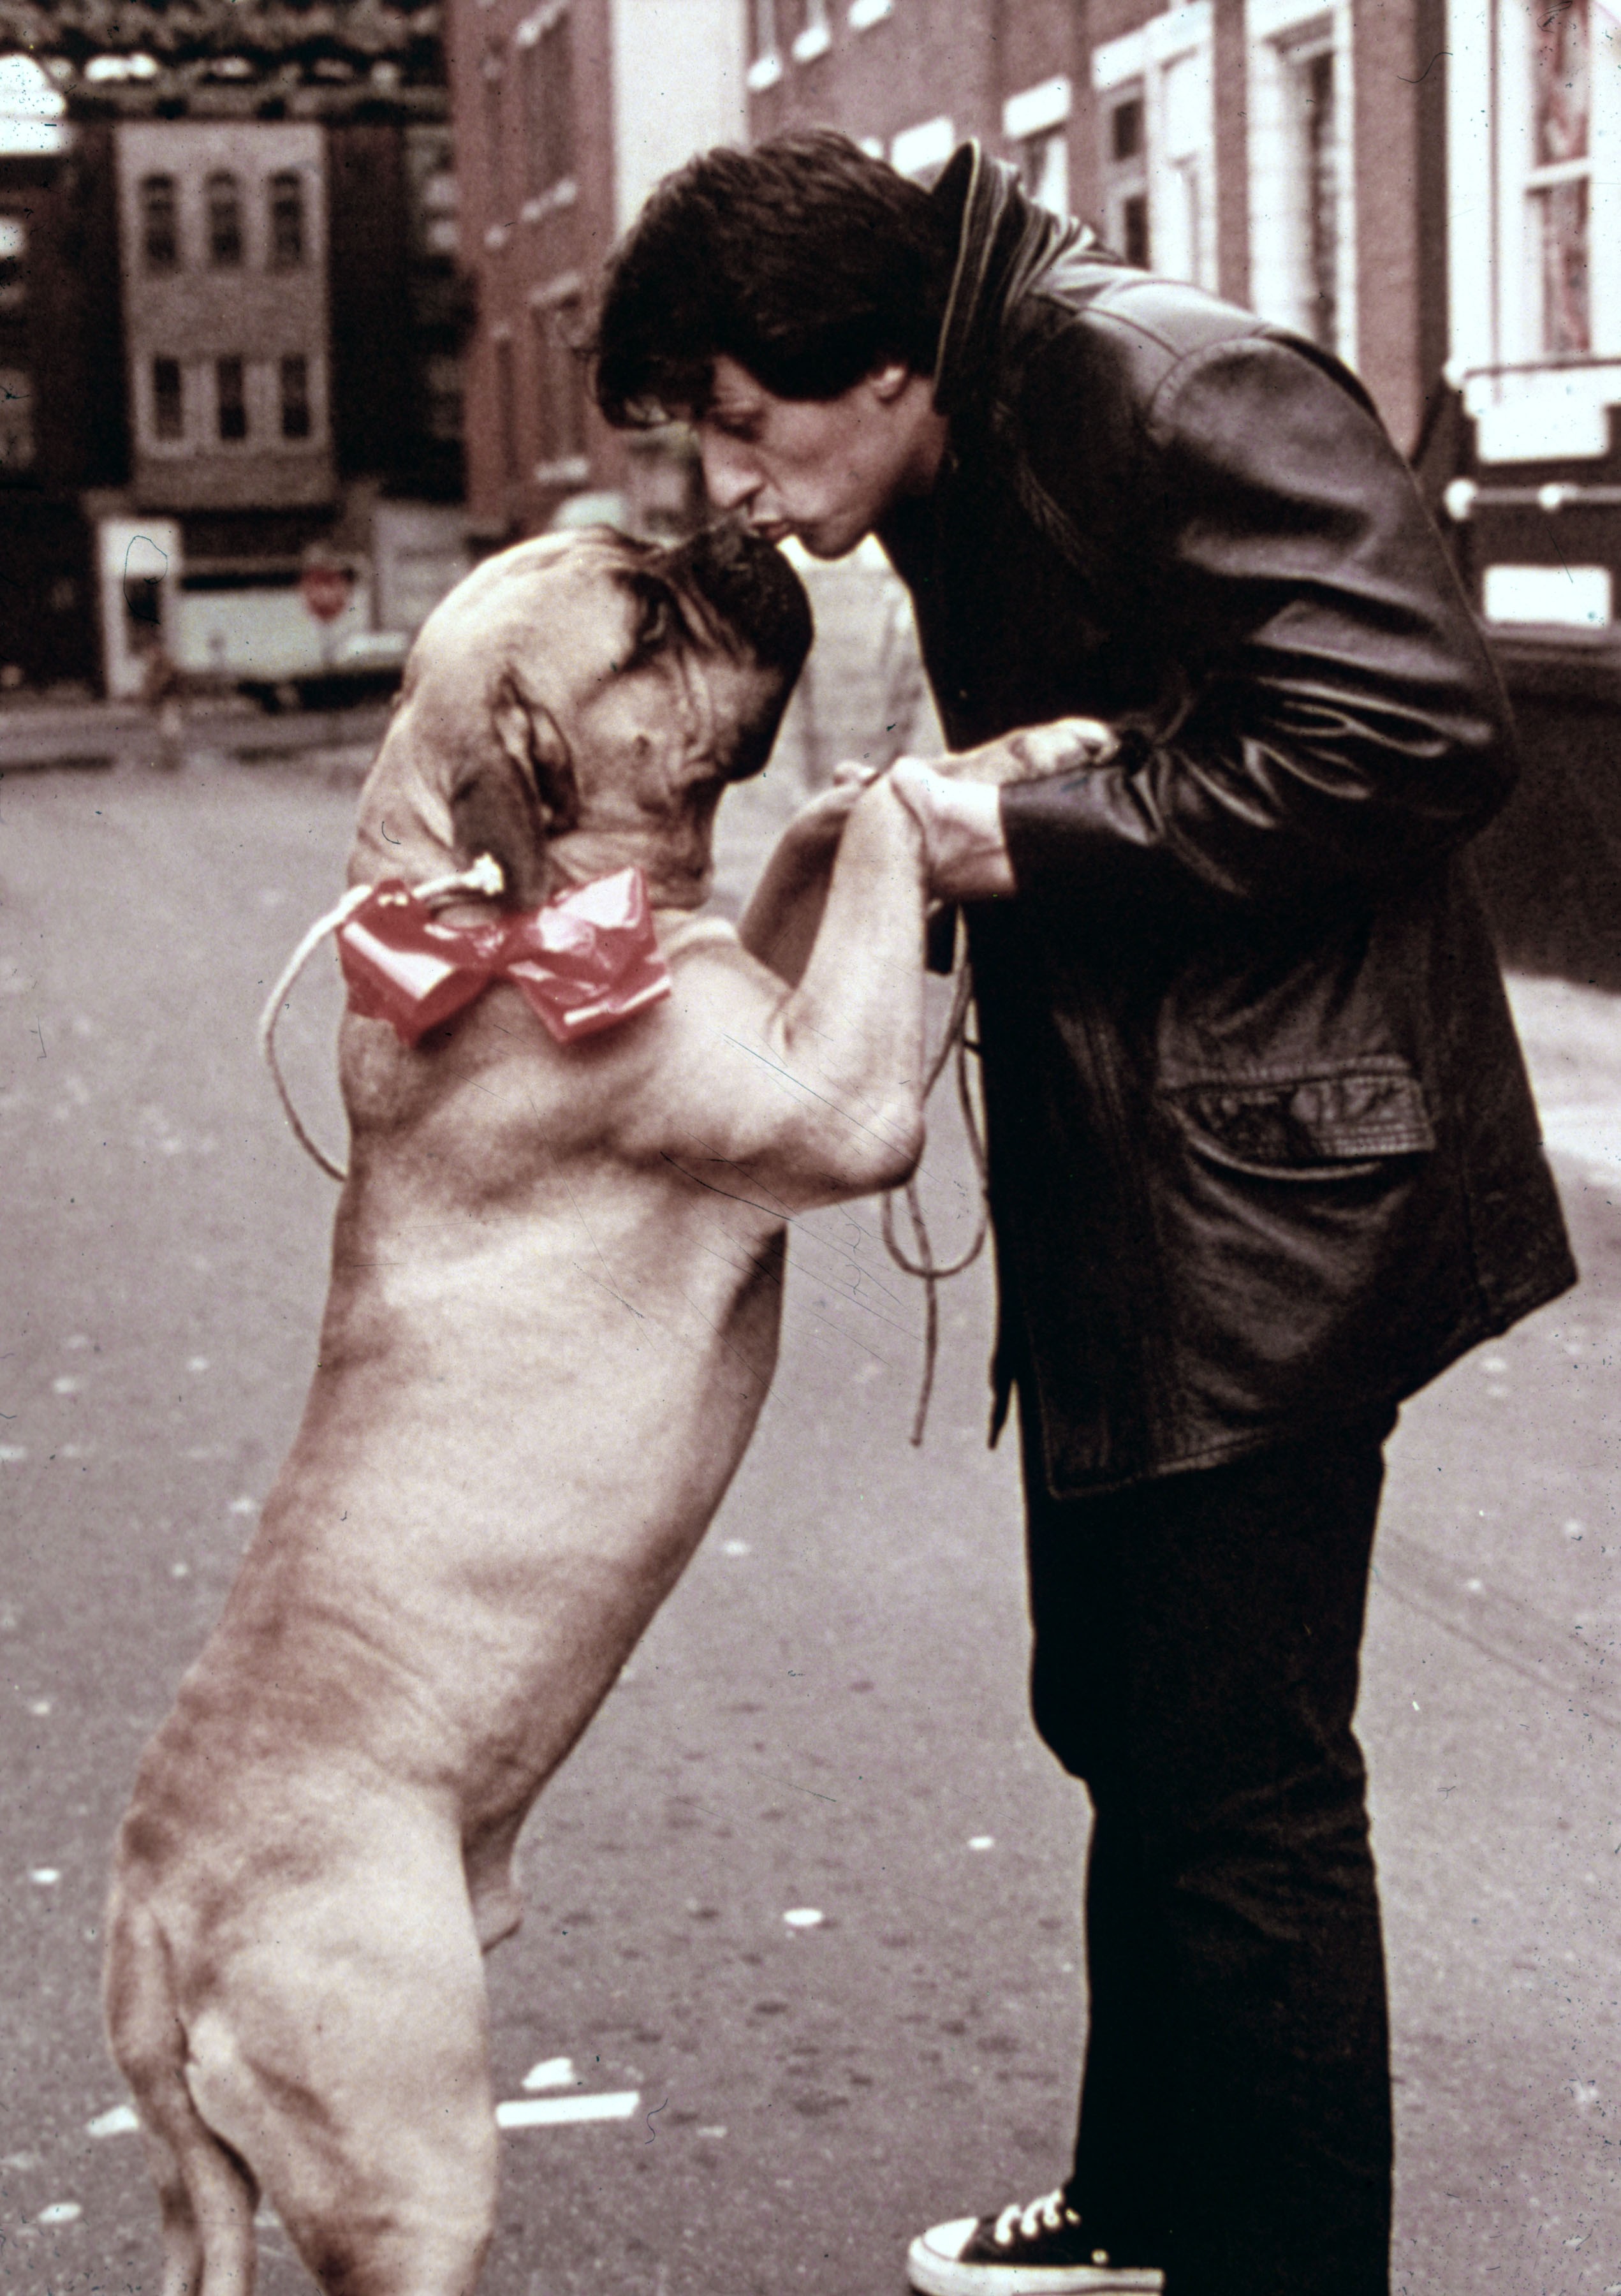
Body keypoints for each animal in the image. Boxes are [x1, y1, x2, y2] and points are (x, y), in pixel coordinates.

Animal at [101, 526, 927, 2296]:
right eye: (644, 620)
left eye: (659, 562)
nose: (731, 528)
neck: (490, 914)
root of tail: (152, 1927)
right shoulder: (836, 1090)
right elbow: (890, 853)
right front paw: (970, 773)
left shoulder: (761, 975)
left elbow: (810, 856)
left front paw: (883, 786)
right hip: (414, 2166)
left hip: (208, 2200)